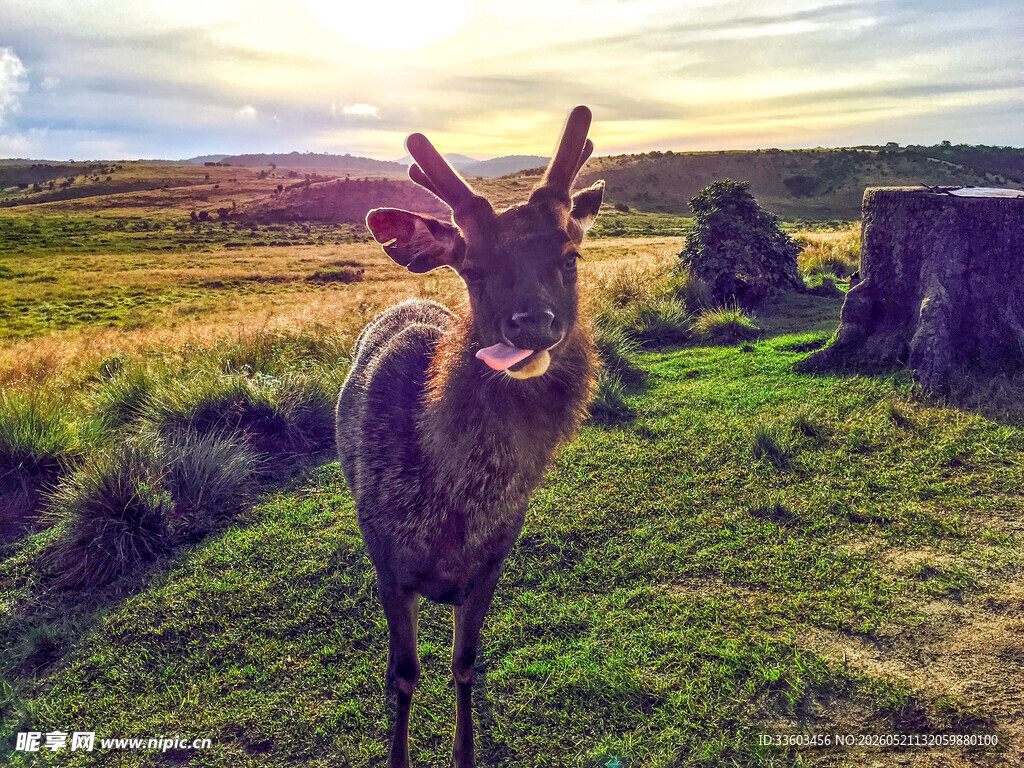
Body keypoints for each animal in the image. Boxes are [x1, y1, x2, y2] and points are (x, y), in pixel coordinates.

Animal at [335, 106, 604, 768]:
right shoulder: (388, 559)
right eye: (473, 268)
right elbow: (406, 674)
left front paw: (465, 753)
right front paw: (398, 755)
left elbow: (465, 664)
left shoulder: (492, 564)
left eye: (570, 256)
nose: (532, 323)